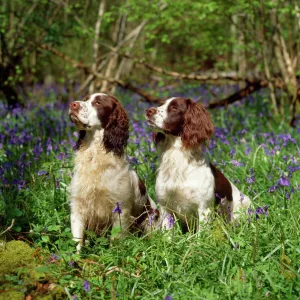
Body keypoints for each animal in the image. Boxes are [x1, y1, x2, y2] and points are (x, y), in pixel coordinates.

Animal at [68, 92, 157, 250]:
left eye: (98, 103)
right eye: (85, 99)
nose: (73, 104)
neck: (95, 155)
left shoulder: (120, 209)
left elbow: (116, 239)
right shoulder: (78, 206)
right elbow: (77, 241)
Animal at [145, 97, 251, 231]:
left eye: (174, 108)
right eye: (161, 104)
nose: (149, 111)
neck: (178, 158)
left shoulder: (204, 208)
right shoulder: (165, 207)